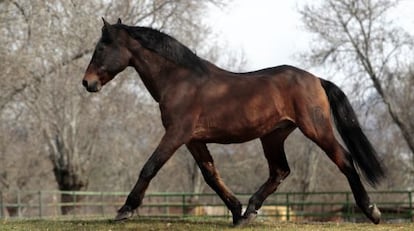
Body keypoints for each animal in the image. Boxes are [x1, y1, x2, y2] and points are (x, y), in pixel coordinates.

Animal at [81, 18, 384, 226]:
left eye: (101, 47)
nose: (87, 83)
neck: (180, 81)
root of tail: (317, 79)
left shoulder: (176, 134)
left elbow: (150, 167)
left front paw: (125, 210)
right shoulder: (193, 140)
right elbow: (211, 175)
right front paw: (235, 210)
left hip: (316, 129)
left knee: (345, 160)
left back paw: (372, 210)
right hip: (272, 136)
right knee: (280, 171)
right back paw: (249, 211)